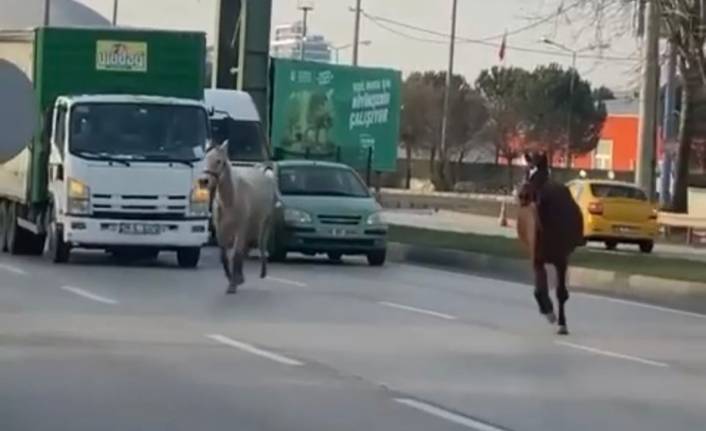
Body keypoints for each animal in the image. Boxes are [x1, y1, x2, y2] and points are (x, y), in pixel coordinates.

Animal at [201, 142, 276, 294]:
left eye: (219, 161)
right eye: (204, 158)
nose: (204, 181)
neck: (231, 201)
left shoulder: (241, 228)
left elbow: (236, 254)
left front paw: (233, 284)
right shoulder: (220, 229)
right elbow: (224, 256)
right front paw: (232, 279)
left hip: (263, 222)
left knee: (260, 243)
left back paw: (262, 271)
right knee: (246, 248)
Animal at [512, 153, 584, 338]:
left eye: (540, 174)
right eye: (525, 170)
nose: (523, 196)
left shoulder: (562, 260)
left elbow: (561, 292)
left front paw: (562, 324)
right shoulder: (537, 258)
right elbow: (539, 290)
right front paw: (548, 311)